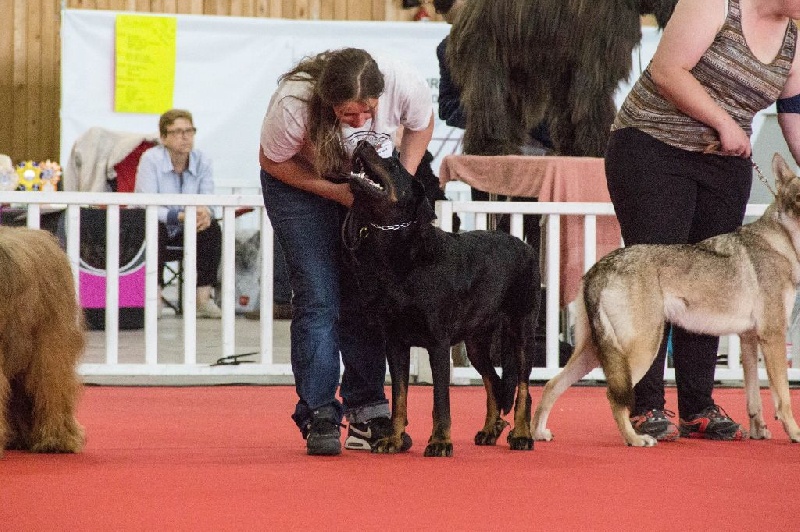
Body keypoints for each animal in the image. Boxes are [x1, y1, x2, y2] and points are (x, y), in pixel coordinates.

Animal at [346, 141, 540, 458]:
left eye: (394, 165)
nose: (362, 143)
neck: (400, 257)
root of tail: (525, 246)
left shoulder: (438, 341)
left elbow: (440, 399)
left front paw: (439, 442)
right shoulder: (395, 341)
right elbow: (399, 396)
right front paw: (393, 439)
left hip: (522, 327)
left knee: (522, 385)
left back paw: (522, 435)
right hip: (475, 340)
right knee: (494, 381)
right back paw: (490, 430)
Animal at [446, 0, 680, 157]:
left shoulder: (567, 72)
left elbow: (569, 111)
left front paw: (574, 147)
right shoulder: (593, 64)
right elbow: (592, 104)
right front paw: (598, 146)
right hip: (488, 60)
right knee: (488, 101)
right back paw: (491, 145)